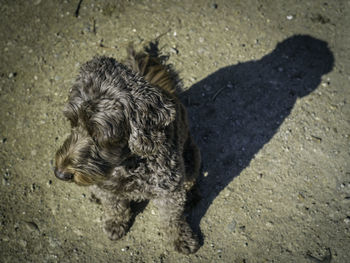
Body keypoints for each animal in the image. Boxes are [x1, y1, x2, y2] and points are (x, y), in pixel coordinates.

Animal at [55, 46, 202, 256]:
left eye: (99, 135)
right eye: (72, 122)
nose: (60, 174)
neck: (127, 163)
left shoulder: (169, 192)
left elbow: (172, 219)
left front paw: (181, 238)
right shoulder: (106, 186)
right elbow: (114, 206)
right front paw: (115, 223)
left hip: (192, 157)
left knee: (191, 178)